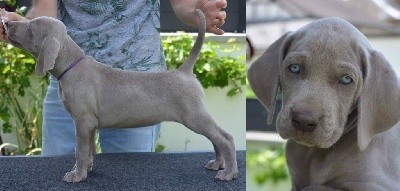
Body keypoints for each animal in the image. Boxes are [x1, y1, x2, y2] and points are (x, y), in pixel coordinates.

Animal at [3, 9, 238, 183]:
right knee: (216, 138)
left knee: (225, 138)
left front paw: (77, 175)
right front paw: (86, 168)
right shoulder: (90, 124)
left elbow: (80, 149)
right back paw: (218, 164)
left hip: (193, 115)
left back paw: (228, 173)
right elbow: (88, 149)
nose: (7, 24)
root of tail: (185, 71)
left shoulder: (83, 120)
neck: (72, 66)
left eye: (31, 27)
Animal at [248, 17, 398, 190]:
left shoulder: (375, 185)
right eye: (294, 68)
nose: (304, 121)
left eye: (346, 79)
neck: (313, 154)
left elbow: (318, 187)